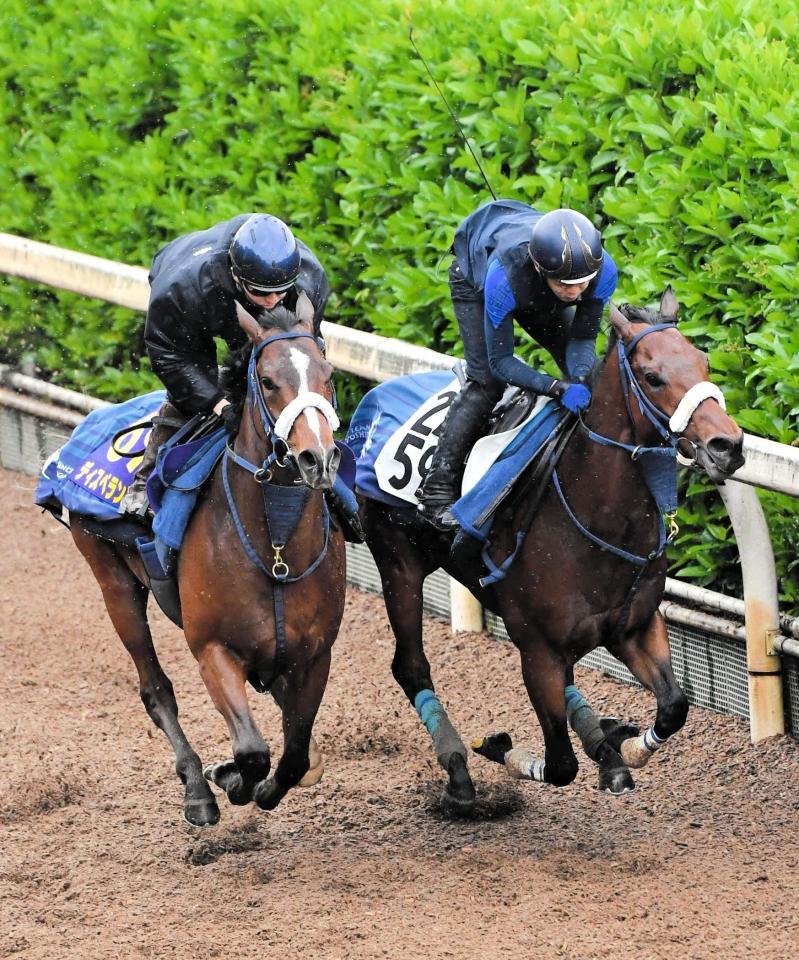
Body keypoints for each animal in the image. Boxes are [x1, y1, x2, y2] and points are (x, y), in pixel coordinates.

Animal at [69, 294, 344, 824]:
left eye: (328, 375)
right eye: (267, 381)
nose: (316, 459)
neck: (276, 550)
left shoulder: (316, 655)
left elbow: (298, 755)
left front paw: (264, 783)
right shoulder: (212, 648)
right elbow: (253, 752)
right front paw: (229, 777)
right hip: (113, 582)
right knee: (155, 688)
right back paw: (197, 787)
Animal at [360, 288, 748, 812]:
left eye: (703, 362)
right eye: (653, 377)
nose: (727, 445)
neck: (598, 520)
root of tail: (373, 402)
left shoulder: (636, 626)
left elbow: (674, 706)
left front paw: (625, 747)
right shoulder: (536, 650)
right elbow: (561, 765)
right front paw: (498, 747)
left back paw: (605, 747)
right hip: (397, 566)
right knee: (411, 665)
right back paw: (459, 773)